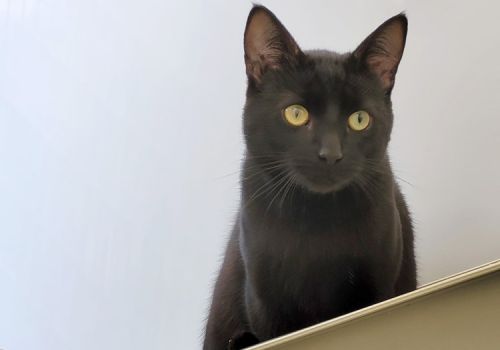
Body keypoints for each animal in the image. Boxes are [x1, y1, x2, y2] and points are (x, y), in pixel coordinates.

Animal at [203, 6, 418, 350]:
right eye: (296, 113)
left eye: (359, 119)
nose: (330, 153)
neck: (316, 218)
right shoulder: (266, 303)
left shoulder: (377, 288)